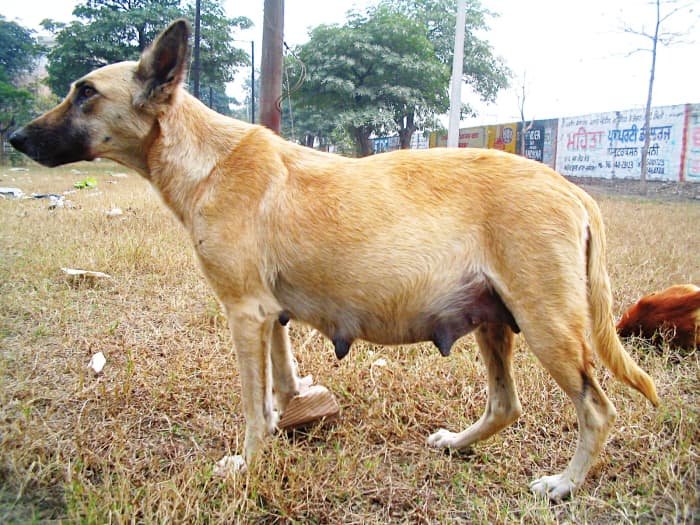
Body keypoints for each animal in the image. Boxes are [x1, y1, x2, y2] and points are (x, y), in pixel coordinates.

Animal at [8, 19, 660, 500]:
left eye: (86, 93)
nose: (14, 138)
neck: (205, 158)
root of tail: (573, 190)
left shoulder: (244, 313)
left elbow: (252, 407)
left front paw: (248, 466)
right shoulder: (270, 316)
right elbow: (279, 387)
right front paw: (285, 423)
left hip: (548, 328)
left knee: (598, 410)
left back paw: (564, 485)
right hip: (494, 322)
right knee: (506, 405)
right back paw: (458, 444)